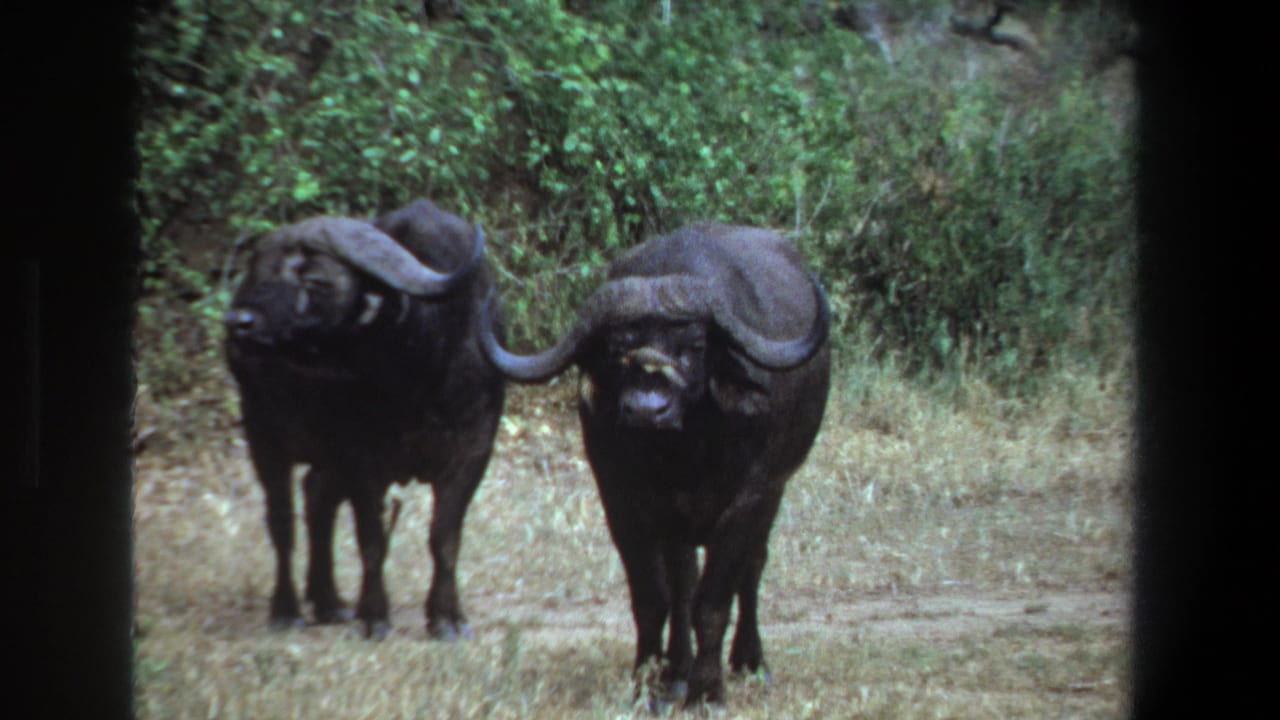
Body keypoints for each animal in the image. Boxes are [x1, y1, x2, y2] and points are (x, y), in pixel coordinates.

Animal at [224, 199, 505, 640]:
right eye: (260, 271)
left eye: (316, 280)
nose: (239, 322)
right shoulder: (361, 457)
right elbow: (372, 539)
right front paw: (375, 615)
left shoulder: (474, 449)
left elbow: (444, 537)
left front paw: (447, 617)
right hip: (263, 433)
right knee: (282, 521)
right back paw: (287, 609)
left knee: (317, 497)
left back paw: (329, 601)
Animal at [478, 224, 831, 704]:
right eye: (617, 350)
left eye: (694, 346)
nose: (648, 410)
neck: (682, 457)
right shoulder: (621, 502)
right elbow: (654, 599)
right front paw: (647, 682)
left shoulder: (751, 498)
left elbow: (713, 600)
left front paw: (707, 692)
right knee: (683, 582)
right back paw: (676, 672)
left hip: (773, 494)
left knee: (753, 567)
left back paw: (749, 661)